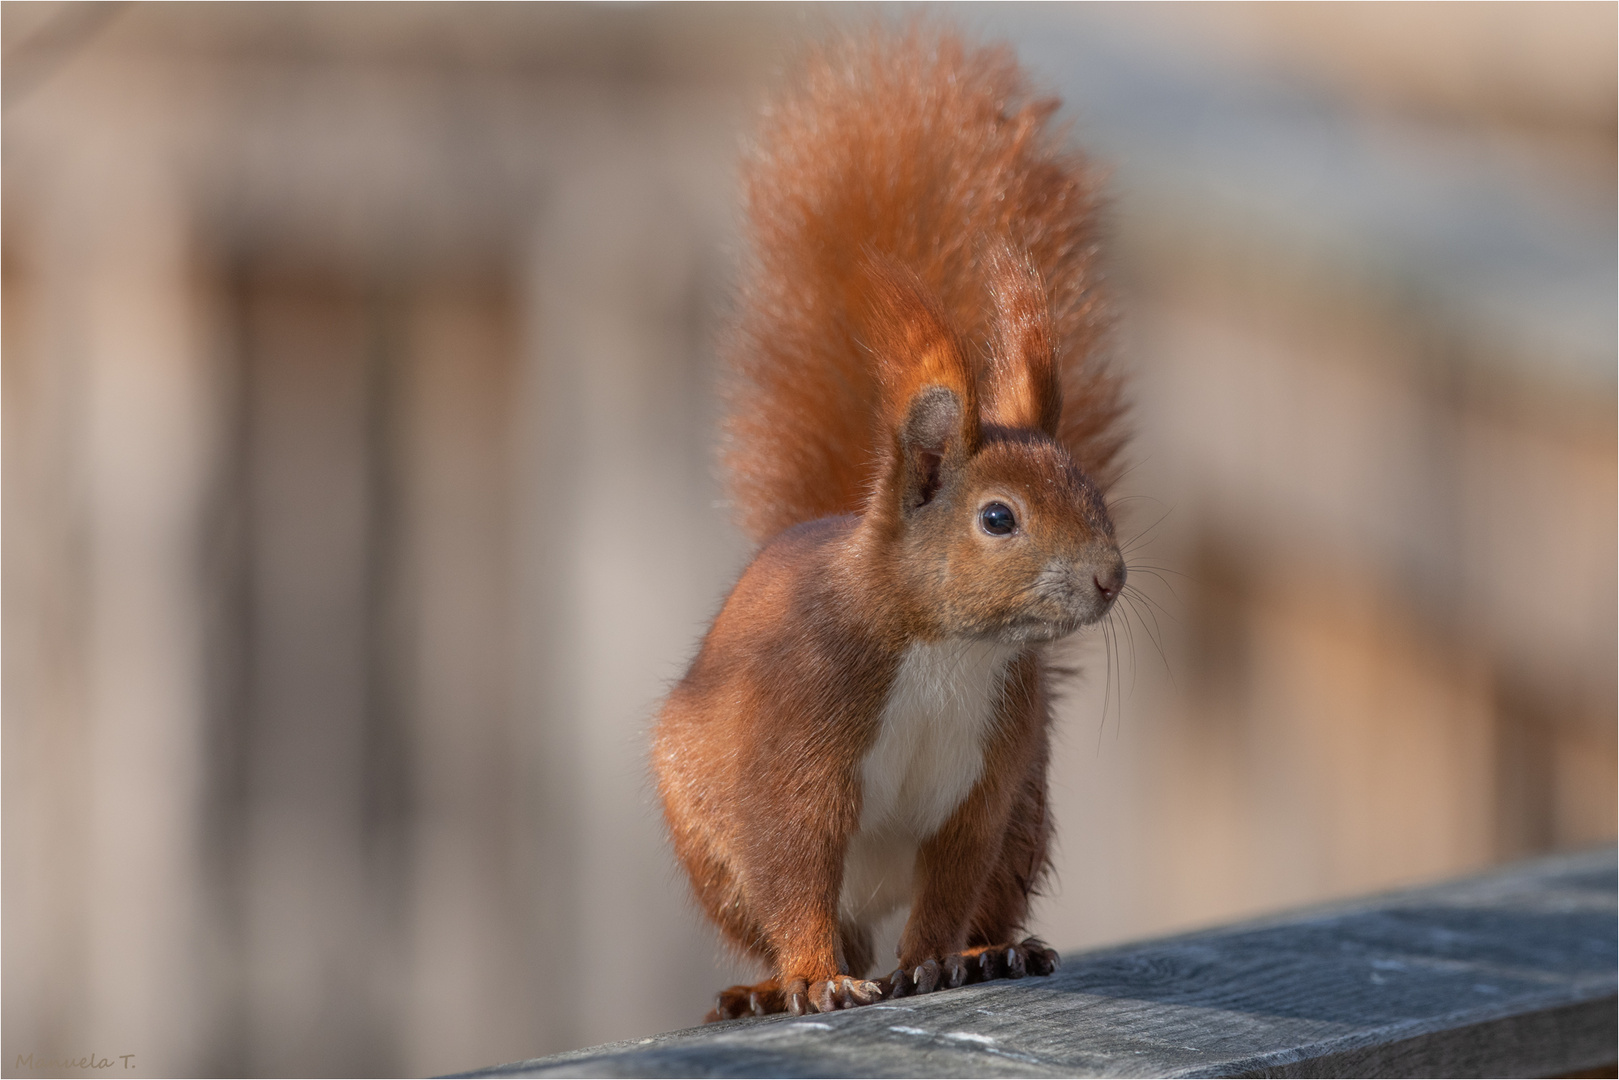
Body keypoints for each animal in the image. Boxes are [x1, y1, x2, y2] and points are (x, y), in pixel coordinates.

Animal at [650, 23, 1133, 1023]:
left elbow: (951, 879)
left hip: (1027, 812)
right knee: (803, 912)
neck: (948, 647)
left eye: (1091, 491)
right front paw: (810, 976)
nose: (1110, 576)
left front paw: (936, 964)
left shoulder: (984, 784)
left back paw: (992, 951)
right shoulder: (794, 743)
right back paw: (770, 984)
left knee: (981, 892)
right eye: (998, 517)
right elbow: (795, 863)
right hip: (705, 834)